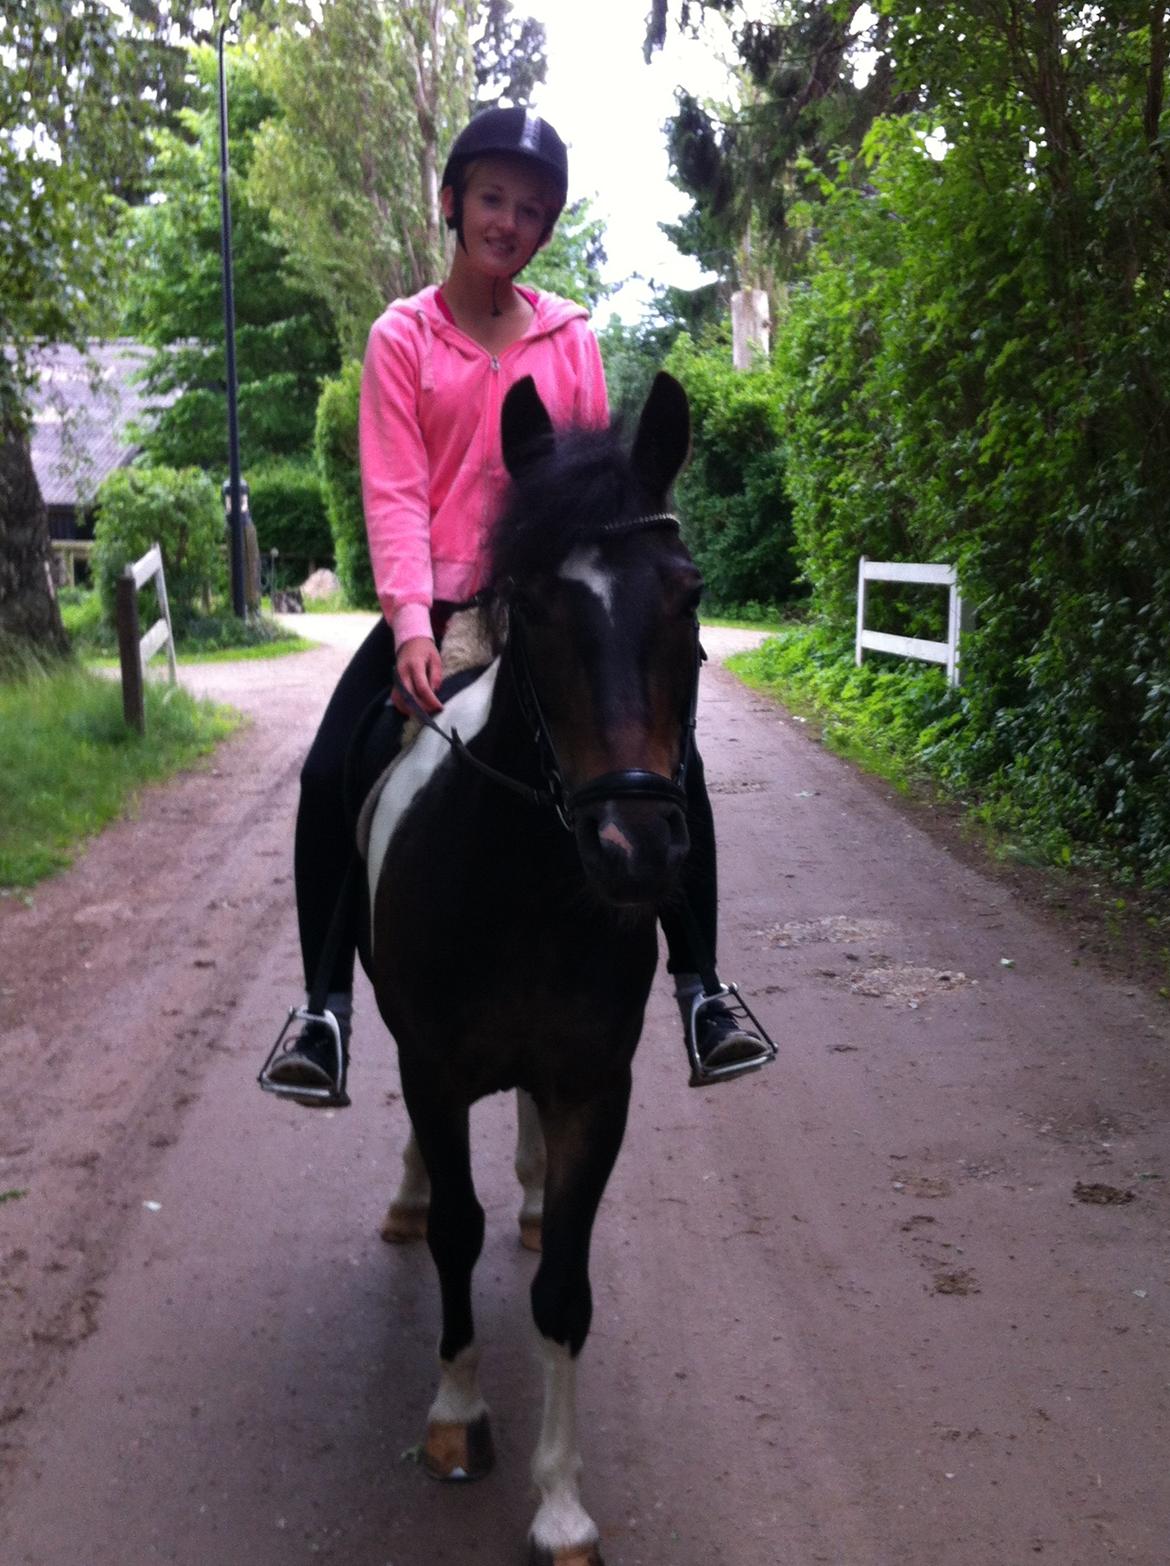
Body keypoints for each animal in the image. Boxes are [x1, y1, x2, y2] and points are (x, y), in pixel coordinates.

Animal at [363, 371, 702, 1566]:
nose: (637, 850)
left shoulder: (595, 1084)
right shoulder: (431, 1064)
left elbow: (563, 1291)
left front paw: (560, 1504)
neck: (528, 886)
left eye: (688, 599)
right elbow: (456, 1232)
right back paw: (414, 1195)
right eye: (539, 607)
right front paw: (457, 1418)